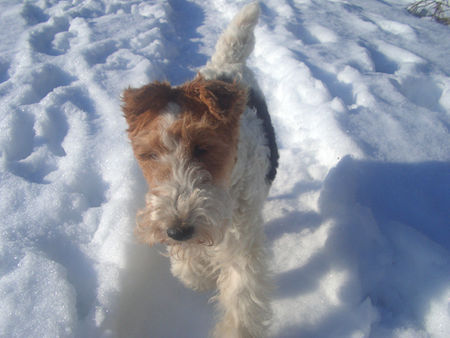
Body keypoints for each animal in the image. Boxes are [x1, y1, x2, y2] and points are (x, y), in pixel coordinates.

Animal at [122, 1, 278, 336]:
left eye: (204, 147)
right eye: (150, 154)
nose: (178, 230)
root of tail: (227, 64)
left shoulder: (242, 242)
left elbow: (242, 296)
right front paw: (195, 275)